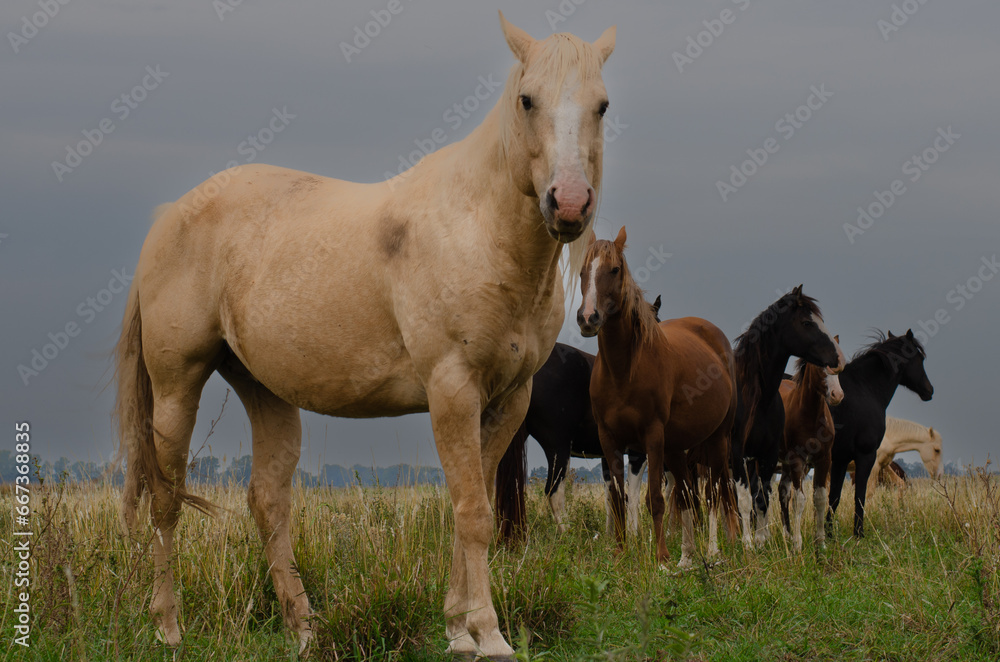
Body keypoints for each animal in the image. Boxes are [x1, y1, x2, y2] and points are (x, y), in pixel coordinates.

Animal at [114, 14, 616, 659]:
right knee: (165, 498)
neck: (479, 230)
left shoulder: (507, 401)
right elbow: (474, 514)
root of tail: (171, 215)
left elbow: (472, 504)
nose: (569, 203)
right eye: (528, 99)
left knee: (268, 502)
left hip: (264, 389)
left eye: (601, 105)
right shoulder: (453, 391)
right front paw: (488, 632)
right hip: (177, 386)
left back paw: (303, 628)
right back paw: (168, 626)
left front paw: (457, 628)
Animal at [494, 298, 661, 543]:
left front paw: (612, 537)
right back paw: (569, 536)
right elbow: (632, 492)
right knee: (553, 490)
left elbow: (612, 493)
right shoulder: (637, 452)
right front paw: (633, 535)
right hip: (558, 447)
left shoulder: (607, 453)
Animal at [578, 226, 739, 568]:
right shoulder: (608, 439)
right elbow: (619, 497)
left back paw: (719, 547)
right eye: (583, 271)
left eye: (615, 269)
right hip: (677, 448)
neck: (624, 370)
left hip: (718, 440)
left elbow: (654, 498)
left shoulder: (652, 437)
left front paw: (661, 556)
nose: (587, 318)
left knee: (717, 492)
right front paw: (620, 551)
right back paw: (687, 556)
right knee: (687, 495)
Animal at [776, 353, 844, 551]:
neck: (811, 416)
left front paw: (820, 542)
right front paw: (797, 545)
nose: (837, 395)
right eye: (819, 364)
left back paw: (787, 534)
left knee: (783, 492)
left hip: (786, 465)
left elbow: (820, 498)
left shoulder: (824, 460)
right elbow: (799, 500)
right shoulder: (797, 459)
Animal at [827, 330, 934, 539]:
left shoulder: (840, 460)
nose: (929, 390)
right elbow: (860, 496)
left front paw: (827, 535)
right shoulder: (866, 456)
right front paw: (858, 534)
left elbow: (833, 498)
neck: (863, 389)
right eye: (920, 358)